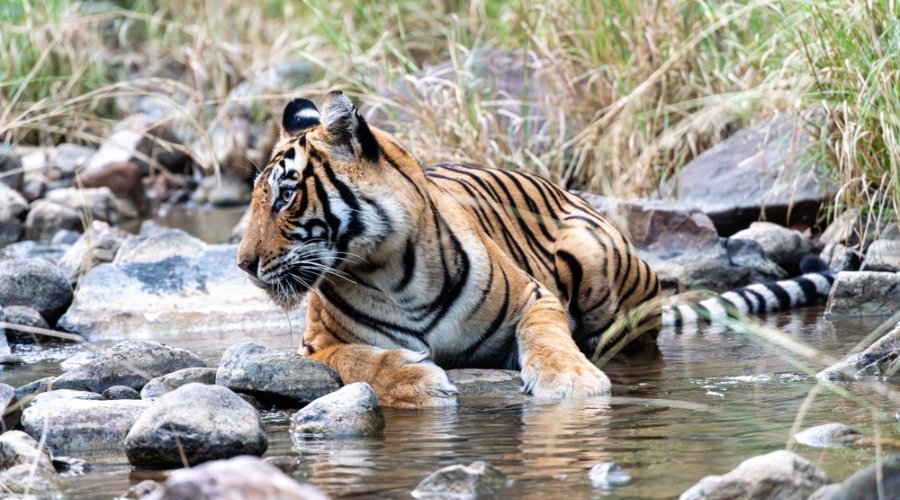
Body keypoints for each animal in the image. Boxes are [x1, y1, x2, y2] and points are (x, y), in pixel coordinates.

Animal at [236, 91, 835, 408]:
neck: (386, 268)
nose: (243, 264)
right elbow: (362, 357)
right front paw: (417, 382)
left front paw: (570, 380)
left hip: (598, 266)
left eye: (286, 195)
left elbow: (547, 337)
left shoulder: (534, 295)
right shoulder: (319, 345)